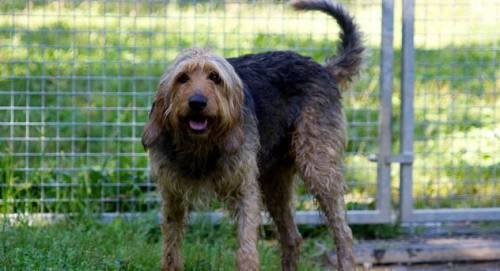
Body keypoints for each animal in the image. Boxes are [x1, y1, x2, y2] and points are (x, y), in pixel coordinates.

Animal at [141, 1, 364, 270]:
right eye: (182, 78)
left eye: (215, 77)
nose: (197, 103)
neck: (201, 147)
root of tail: (322, 68)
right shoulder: (172, 197)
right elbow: (171, 250)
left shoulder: (245, 191)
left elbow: (246, 249)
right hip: (274, 181)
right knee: (292, 238)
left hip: (319, 168)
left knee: (343, 233)